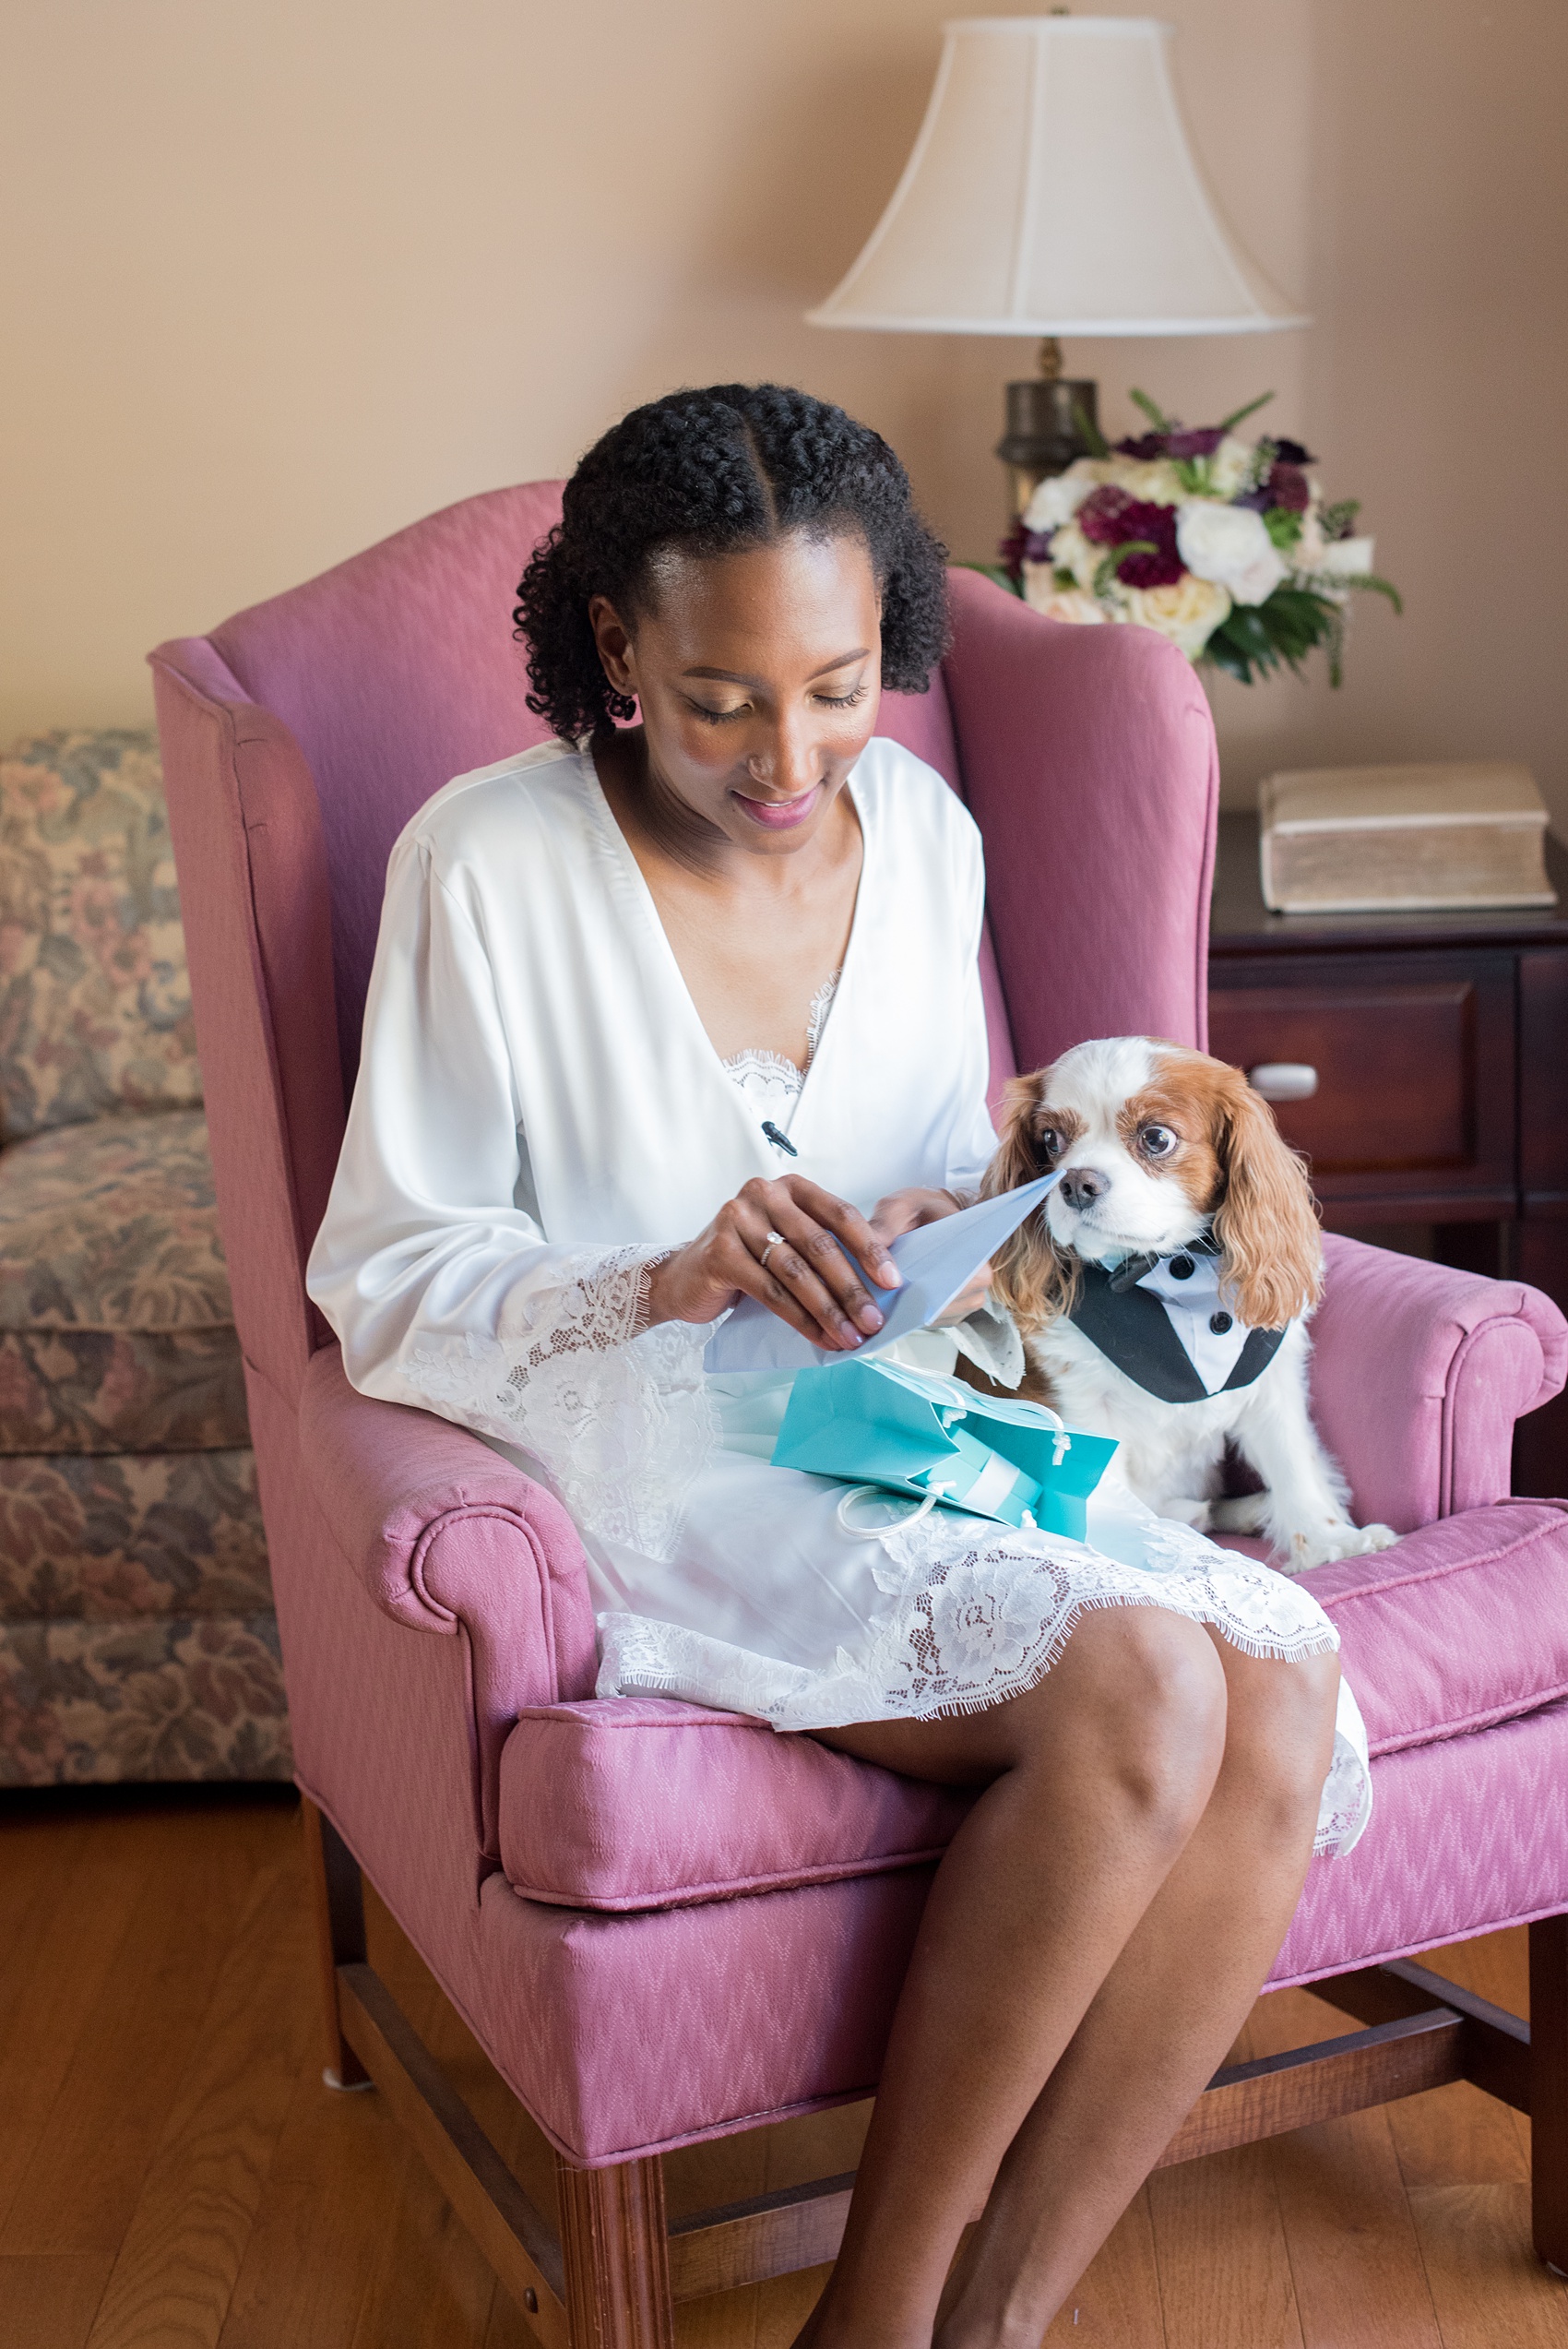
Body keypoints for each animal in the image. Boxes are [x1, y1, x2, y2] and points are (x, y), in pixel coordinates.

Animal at [990, 1038, 1398, 1568]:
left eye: (1156, 1138)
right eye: (1051, 1140)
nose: (1076, 1183)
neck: (1165, 1271)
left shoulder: (1271, 1384)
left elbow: (1294, 1463)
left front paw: (1330, 1543)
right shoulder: (1079, 1401)